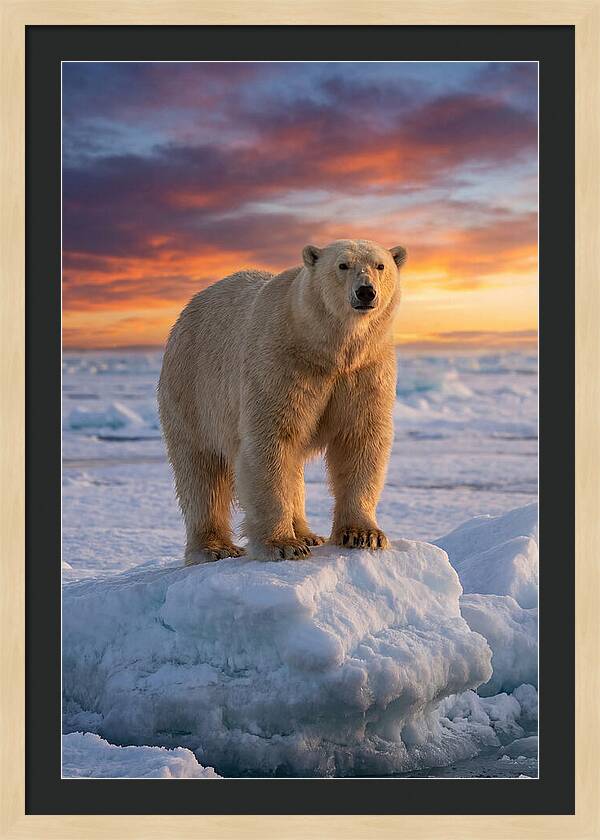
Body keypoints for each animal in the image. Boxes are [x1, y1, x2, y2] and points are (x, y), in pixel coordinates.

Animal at [157, 238, 407, 564]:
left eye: (380, 266)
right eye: (343, 265)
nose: (366, 291)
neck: (326, 349)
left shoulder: (366, 369)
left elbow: (360, 438)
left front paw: (364, 535)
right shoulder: (281, 363)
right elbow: (270, 441)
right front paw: (283, 545)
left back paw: (308, 533)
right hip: (192, 389)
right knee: (201, 472)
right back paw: (215, 547)